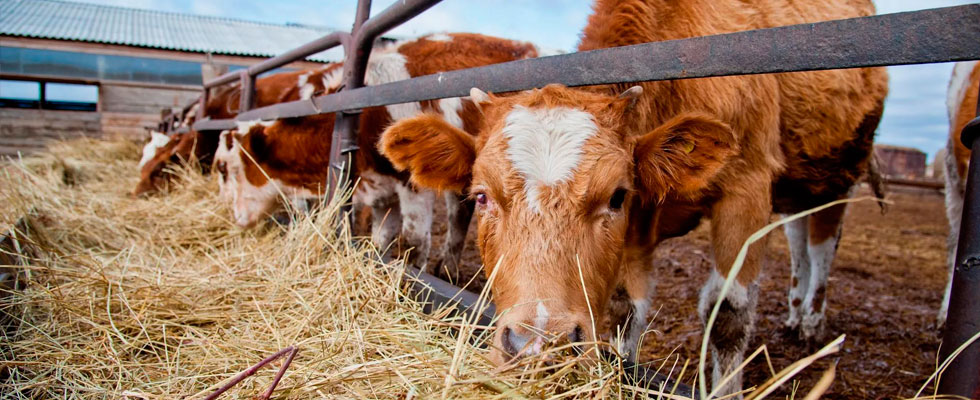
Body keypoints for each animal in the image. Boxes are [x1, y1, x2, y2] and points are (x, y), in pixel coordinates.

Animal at [214, 32, 540, 276]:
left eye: (226, 169)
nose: (236, 218)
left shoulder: (412, 186)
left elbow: (412, 244)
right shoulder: (381, 191)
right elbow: (380, 241)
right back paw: (447, 268)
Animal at [378, 0, 892, 394]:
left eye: (616, 196)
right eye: (482, 196)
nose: (539, 346)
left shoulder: (746, 189)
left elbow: (728, 315)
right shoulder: (639, 230)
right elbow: (626, 309)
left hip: (839, 175)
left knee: (823, 244)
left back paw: (811, 321)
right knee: (800, 241)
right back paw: (795, 312)